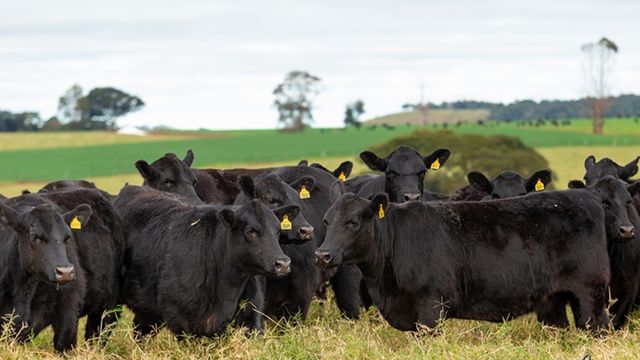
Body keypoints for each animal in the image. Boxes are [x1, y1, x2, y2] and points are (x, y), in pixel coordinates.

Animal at [316, 190, 608, 334]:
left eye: (353, 222)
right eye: (326, 220)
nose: (322, 255)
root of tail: (587, 198)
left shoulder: (431, 308)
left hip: (590, 293)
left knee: (597, 327)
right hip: (552, 299)